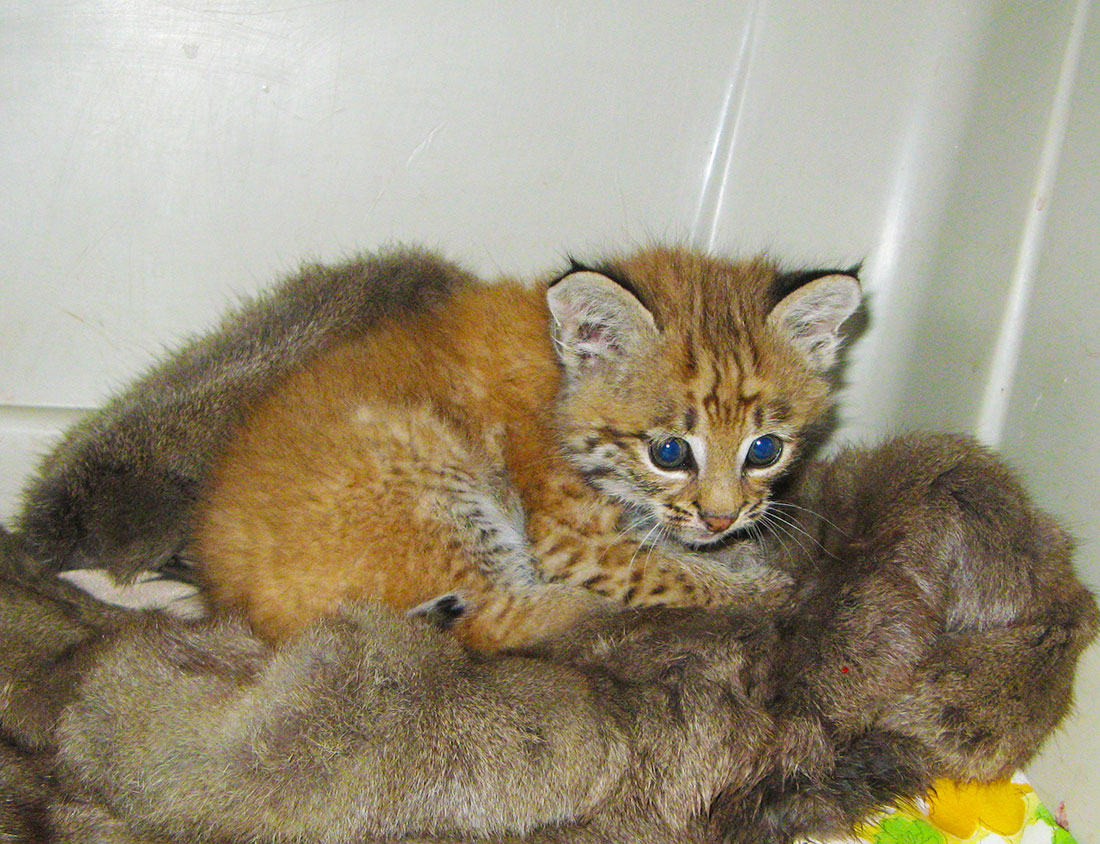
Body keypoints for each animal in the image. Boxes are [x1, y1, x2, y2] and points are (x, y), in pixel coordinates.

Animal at [193, 247, 858, 651]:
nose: (722, 519)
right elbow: (668, 573)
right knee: (490, 622)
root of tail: (236, 605)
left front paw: (734, 554)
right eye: (669, 454)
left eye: (764, 449)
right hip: (430, 473)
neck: (561, 376)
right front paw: (759, 591)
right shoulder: (572, 541)